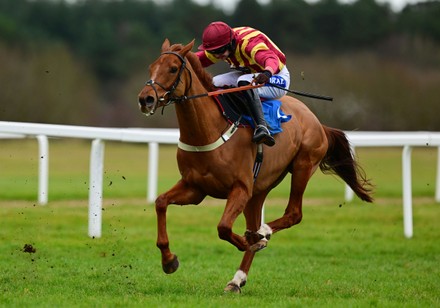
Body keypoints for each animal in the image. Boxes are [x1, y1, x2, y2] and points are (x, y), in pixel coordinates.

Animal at [137, 39, 372, 294]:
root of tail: (317, 121)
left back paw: (262, 234)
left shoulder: (240, 187)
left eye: (172, 68)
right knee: (257, 221)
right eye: (150, 67)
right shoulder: (195, 188)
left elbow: (223, 227)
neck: (210, 130)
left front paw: (252, 240)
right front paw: (169, 260)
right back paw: (237, 278)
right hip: (257, 192)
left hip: (302, 165)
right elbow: (161, 202)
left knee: (293, 213)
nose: (145, 99)